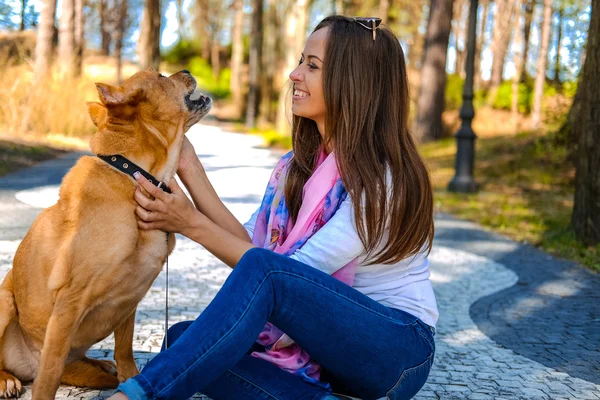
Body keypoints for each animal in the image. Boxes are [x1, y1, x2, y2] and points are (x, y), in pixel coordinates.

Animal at [0, 70, 211, 398]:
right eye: (161, 76)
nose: (187, 71)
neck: (134, 176)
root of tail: (25, 366)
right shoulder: (70, 301)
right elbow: (49, 376)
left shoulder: (128, 302)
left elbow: (124, 352)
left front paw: (128, 377)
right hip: (4, 300)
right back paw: (5, 379)